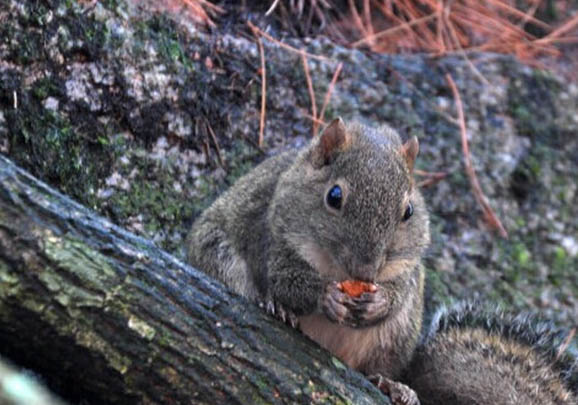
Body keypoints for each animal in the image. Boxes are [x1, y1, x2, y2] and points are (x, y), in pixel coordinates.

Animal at [187, 117, 430, 404]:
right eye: (334, 196)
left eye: (409, 211)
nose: (366, 273)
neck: (336, 268)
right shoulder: (276, 238)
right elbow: (285, 280)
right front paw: (325, 296)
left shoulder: (408, 266)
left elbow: (400, 290)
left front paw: (379, 301)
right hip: (217, 254)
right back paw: (278, 310)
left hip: (399, 334)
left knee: (375, 368)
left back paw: (393, 386)